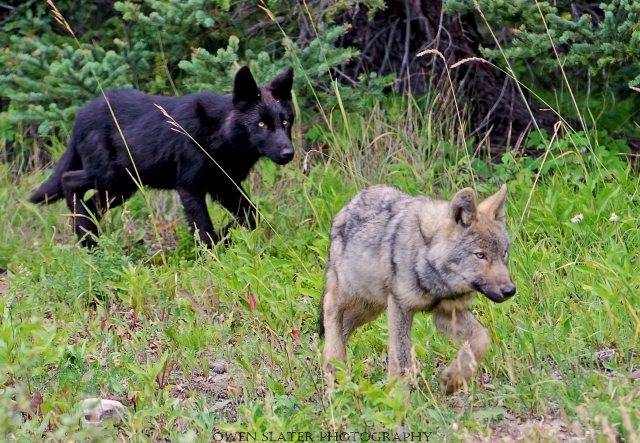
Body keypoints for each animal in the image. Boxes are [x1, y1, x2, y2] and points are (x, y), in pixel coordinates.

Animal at [29, 66, 295, 248]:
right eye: (261, 124)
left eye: (285, 122)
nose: (288, 153)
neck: (218, 137)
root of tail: (80, 116)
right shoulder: (189, 187)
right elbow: (204, 229)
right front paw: (213, 252)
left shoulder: (224, 186)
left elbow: (251, 217)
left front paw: (227, 235)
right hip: (109, 178)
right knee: (68, 181)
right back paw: (87, 239)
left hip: (122, 187)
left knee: (90, 204)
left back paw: (94, 240)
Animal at [318, 184, 516, 395]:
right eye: (480, 255)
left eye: (504, 254)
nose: (510, 290)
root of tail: (350, 203)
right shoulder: (401, 307)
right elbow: (401, 361)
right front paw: (399, 398)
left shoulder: (447, 312)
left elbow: (482, 339)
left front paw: (452, 380)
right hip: (352, 291)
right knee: (330, 305)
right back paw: (334, 362)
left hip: (371, 307)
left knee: (343, 325)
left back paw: (335, 368)